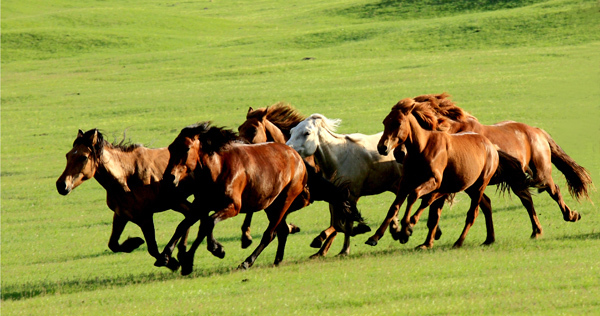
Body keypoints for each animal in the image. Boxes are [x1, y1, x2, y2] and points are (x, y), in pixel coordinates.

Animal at [55, 128, 192, 270]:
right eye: (67, 155)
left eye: (84, 157)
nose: (61, 185)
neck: (127, 176)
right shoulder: (121, 215)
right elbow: (113, 244)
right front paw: (134, 243)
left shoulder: (145, 217)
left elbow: (152, 248)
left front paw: (168, 261)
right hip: (177, 202)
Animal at [156, 122, 356, 276]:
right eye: (171, 148)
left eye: (186, 148)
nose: (169, 177)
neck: (218, 169)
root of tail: (297, 157)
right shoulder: (202, 204)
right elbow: (186, 225)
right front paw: (167, 256)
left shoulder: (232, 207)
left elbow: (208, 223)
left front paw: (214, 250)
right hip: (271, 205)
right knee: (282, 230)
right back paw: (277, 259)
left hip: (285, 200)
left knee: (270, 234)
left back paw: (247, 261)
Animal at [286, 113, 404, 256]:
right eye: (292, 131)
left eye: (307, 133)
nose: (287, 148)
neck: (340, 158)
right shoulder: (334, 197)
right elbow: (337, 223)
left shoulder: (351, 196)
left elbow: (346, 223)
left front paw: (345, 249)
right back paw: (396, 230)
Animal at [372, 97, 532, 248]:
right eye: (385, 122)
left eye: (398, 123)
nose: (382, 147)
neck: (423, 147)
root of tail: (492, 146)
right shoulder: (406, 182)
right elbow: (395, 207)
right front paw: (375, 237)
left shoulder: (434, 182)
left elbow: (415, 196)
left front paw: (406, 229)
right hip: (469, 186)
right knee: (485, 204)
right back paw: (489, 239)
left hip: (479, 186)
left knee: (472, 214)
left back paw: (459, 242)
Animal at [408, 93, 596, 237]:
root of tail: (537, 131)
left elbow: (434, 205)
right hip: (516, 179)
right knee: (527, 199)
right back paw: (536, 231)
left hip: (541, 172)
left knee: (553, 189)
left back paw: (571, 215)